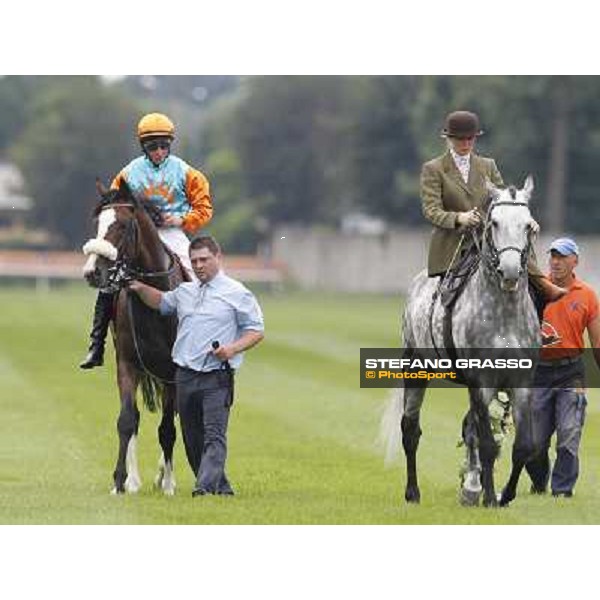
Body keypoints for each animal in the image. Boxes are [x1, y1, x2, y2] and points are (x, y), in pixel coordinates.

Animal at [82, 179, 185, 496]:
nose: (92, 272)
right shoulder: (127, 363)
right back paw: (136, 480)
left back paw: (163, 476)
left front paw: (168, 484)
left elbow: (167, 428)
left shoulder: (173, 371)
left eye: (123, 225)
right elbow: (127, 420)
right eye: (98, 224)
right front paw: (120, 481)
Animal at [382, 175, 540, 506]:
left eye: (528, 225)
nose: (509, 272)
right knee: (411, 430)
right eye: (494, 222)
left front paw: (504, 495)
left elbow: (522, 447)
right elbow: (489, 444)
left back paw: (471, 488)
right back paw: (414, 492)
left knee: (469, 429)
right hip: (415, 367)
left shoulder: (521, 382)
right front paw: (490, 499)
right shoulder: (481, 382)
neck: (504, 312)